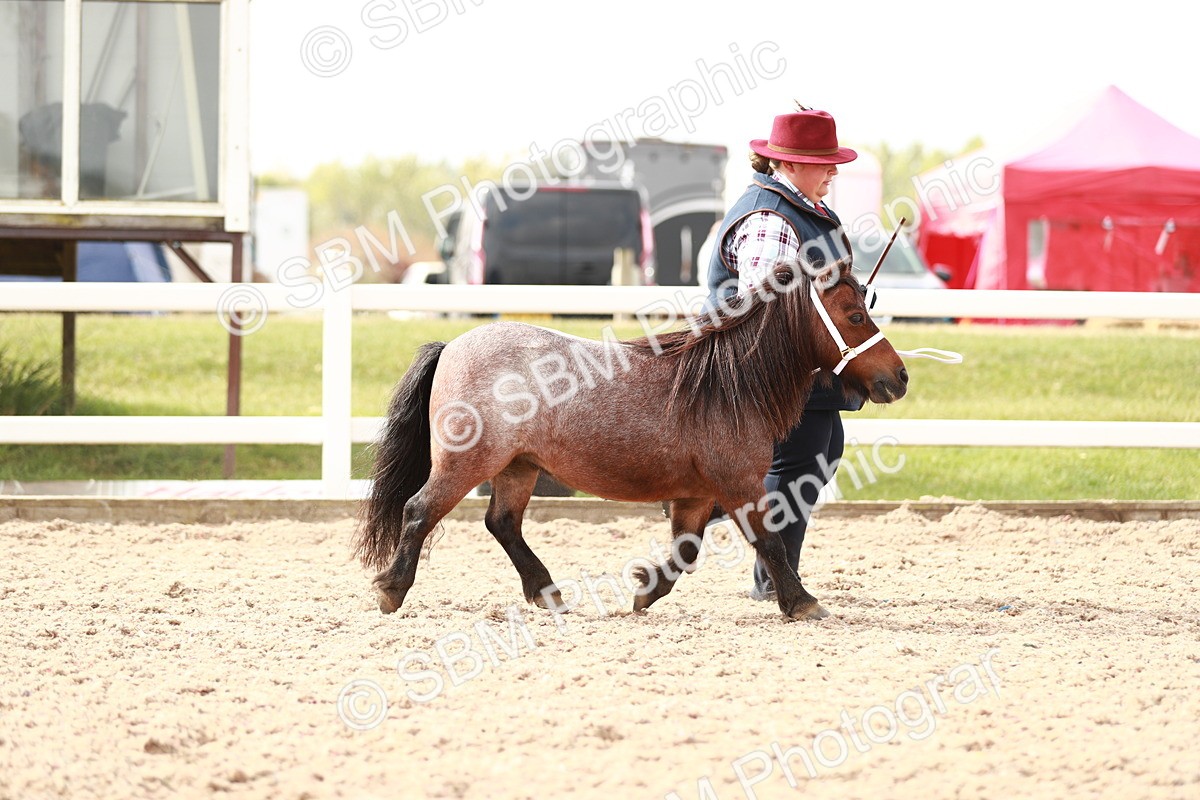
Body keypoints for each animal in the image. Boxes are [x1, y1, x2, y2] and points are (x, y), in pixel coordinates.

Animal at [353, 261, 908, 621]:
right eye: (855, 316)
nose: (899, 377)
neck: (726, 386)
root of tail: (453, 345)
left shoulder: (698, 495)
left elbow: (686, 550)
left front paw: (645, 591)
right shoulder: (740, 485)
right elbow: (769, 539)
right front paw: (803, 602)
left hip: (518, 467)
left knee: (502, 523)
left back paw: (546, 592)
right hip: (466, 463)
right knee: (419, 510)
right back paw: (391, 591)